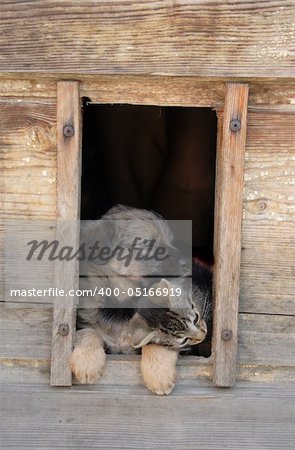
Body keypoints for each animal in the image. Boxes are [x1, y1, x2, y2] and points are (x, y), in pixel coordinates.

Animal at [69, 206, 213, 396]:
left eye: (171, 240)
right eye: (147, 243)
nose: (189, 263)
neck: (123, 304)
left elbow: (156, 342)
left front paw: (159, 374)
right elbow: (88, 331)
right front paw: (87, 361)